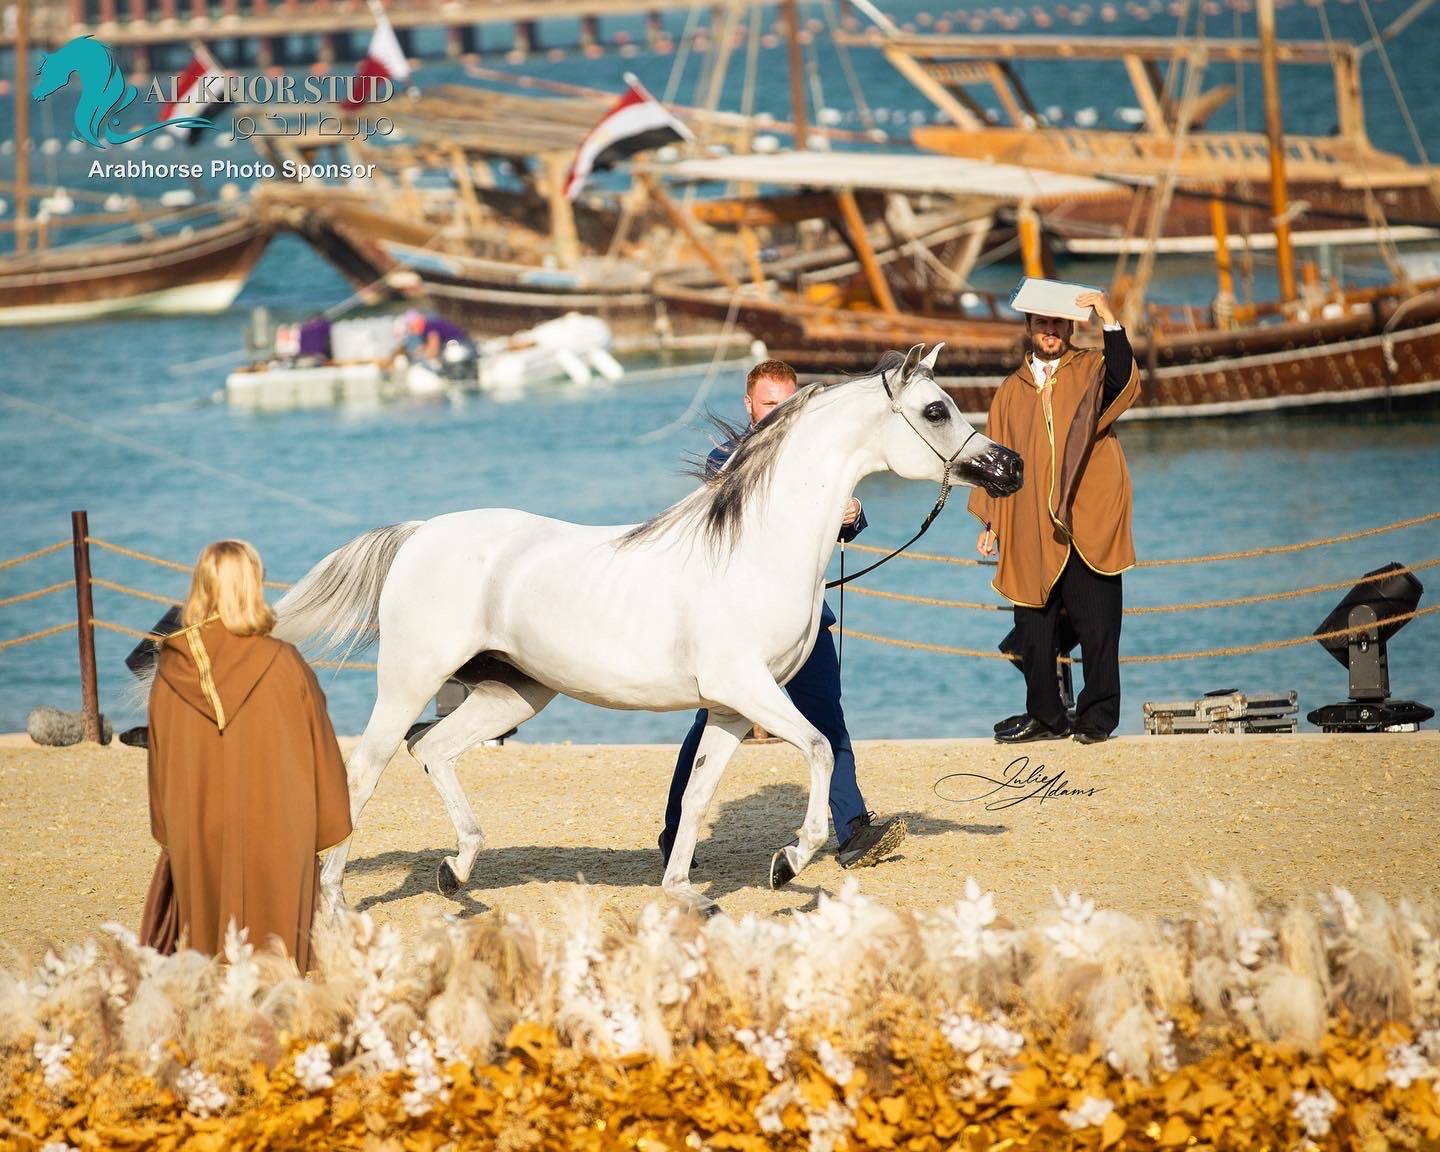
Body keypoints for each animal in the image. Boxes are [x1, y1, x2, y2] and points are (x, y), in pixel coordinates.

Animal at [273, 344, 1024, 913]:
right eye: (937, 409)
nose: (1009, 467)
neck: (755, 547)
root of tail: (420, 533)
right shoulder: (748, 689)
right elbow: (817, 747)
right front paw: (788, 860)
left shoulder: (728, 708)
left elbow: (696, 795)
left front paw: (685, 891)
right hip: (410, 679)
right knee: (367, 768)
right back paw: (336, 901)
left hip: (512, 692)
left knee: (431, 749)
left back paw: (456, 874)